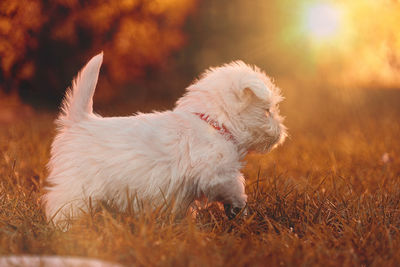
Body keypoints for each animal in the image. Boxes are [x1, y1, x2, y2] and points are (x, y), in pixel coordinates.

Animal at [43, 52, 286, 224]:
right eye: (268, 111)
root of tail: (79, 121)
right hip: (77, 188)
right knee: (61, 208)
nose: (282, 132)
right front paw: (242, 210)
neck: (212, 122)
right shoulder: (216, 173)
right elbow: (235, 188)